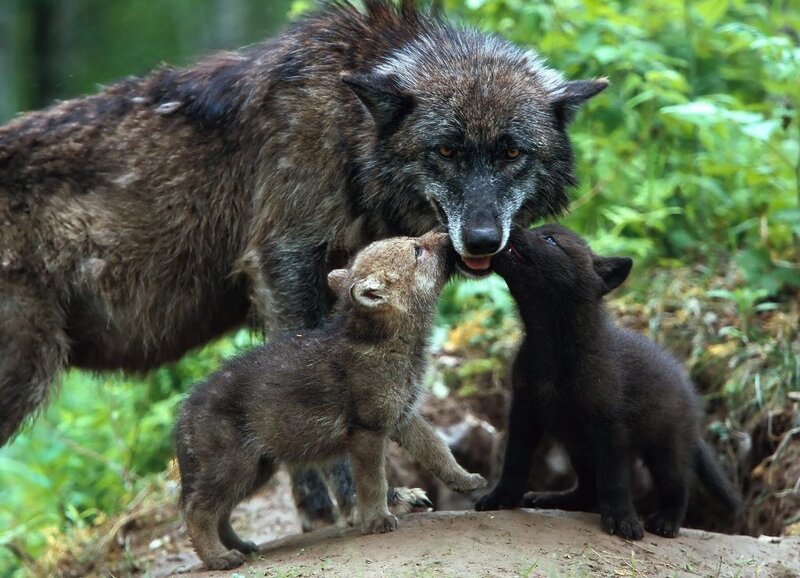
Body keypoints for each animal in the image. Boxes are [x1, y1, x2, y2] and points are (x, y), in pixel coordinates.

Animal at [0, 0, 605, 523]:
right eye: (446, 151)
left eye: (511, 153)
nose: (482, 240)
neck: (347, 132)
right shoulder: (284, 262)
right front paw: (363, 499)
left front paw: (316, 504)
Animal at [176, 230, 486, 569]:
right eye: (417, 251)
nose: (445, 234)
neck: (386, 344)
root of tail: (184, 412)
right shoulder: (366, 432)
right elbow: (373, 481)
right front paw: (378, 520)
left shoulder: (403, 417)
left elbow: (438, 450)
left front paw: (466, 479)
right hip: (235, 466)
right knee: (197, 511)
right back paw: (219, 558)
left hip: (257, 469)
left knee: (219, 512)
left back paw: (241, 547)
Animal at [475, 224, 740, 539]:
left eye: (550, 239)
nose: (510, 226)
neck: (553, 346)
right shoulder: (524, 410)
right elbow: (515, 461)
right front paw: (502, 498)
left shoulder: (610, 425)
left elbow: (615, 480)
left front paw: (622, 520)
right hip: (579, 446)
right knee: (588, 489)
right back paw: (553, 499)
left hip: (667, 448)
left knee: (677, 487)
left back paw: (666, 522)